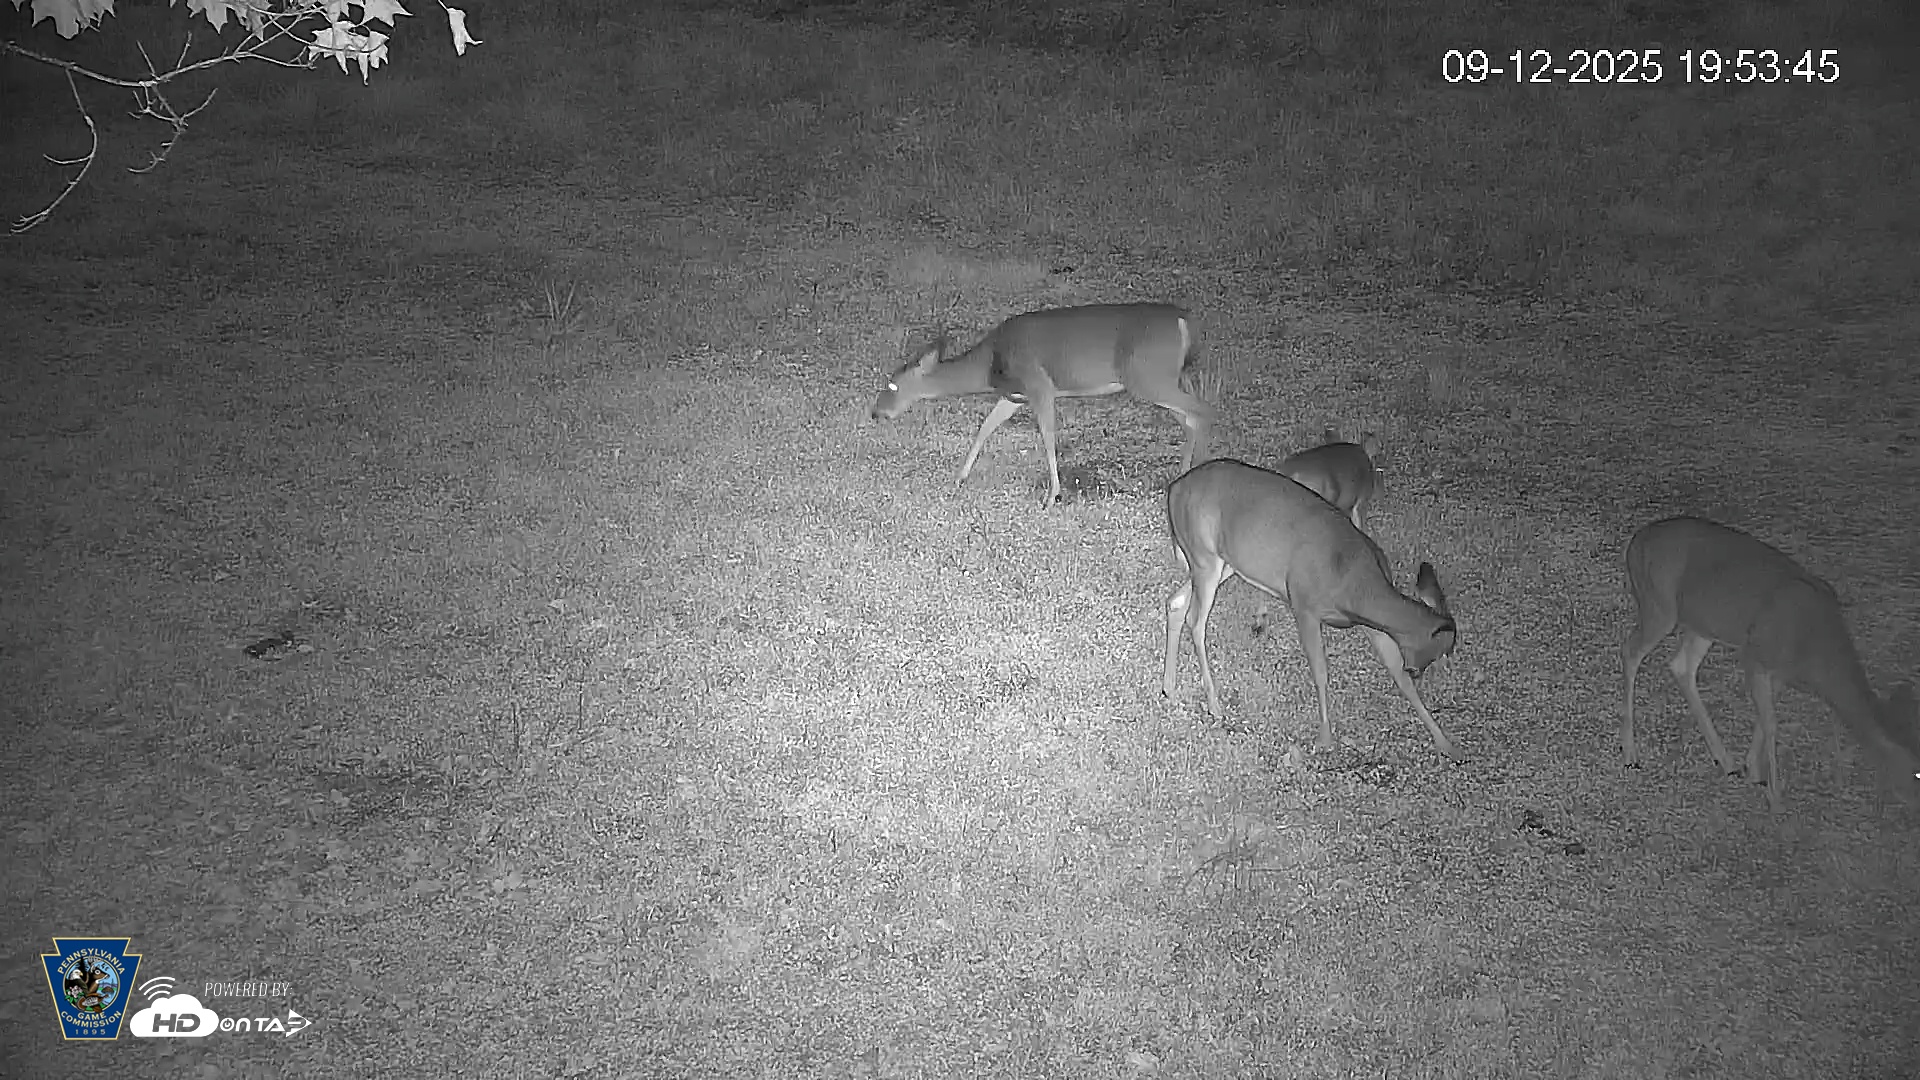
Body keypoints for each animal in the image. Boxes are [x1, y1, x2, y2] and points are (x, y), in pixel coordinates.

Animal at [869, 303, 1219, 507]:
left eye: (892, 385)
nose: (876, 413)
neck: (990, 364)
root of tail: (1184, 321)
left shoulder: (1040, 385)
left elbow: (1048, 437)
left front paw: (1053, 495)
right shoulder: (1013, 396)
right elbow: (985, 428)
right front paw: (959, 477)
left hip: (1147, 375)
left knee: (1202, 410)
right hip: (1164, 377)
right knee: (1191, 417)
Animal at [1162, 458, 1461, 760]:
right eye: (1442, 650)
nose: (1421, 670)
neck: (1357, 586)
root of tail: (1174, 489)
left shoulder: (1372, 625)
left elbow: (1399, 677)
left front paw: (1447, 744)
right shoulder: (1303, 603)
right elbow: (1320, 672)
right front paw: (1325, 738)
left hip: (1221, 562)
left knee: (1176, 603)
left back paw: (1169, 689)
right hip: (1204, 555)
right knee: (1195, 621)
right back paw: (1214, 703)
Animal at [1621, 515, 1920, 812]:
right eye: (1917, 772)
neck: (1816, 650)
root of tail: (1636, 541)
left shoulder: (1780, 671)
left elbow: (1764, 719)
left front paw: (1754, 771)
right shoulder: (1755, 654)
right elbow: (1771, 722)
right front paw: (1775, 795)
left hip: (1702, 623)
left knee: (1682, 666)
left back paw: (1726, 761)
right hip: (1659, 606)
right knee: (1631, 652)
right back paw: (1631, 753)